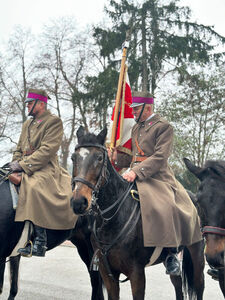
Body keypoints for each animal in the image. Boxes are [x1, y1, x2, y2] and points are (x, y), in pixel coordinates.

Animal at [70, 126, 206, 300]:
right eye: (73, 158)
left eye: (99, 158)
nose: (79, 202)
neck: (113, 219)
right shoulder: (108, 274)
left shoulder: (136, 274)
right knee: (178, 285)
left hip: (198, 255)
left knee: (199, 286)